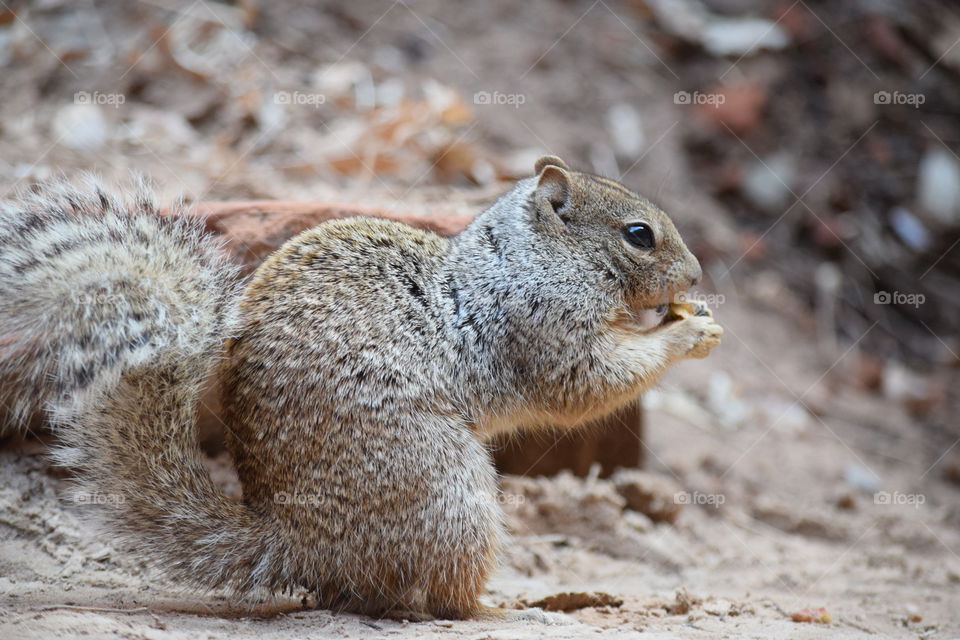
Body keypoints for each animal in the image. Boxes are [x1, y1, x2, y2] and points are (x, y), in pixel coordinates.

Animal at [0, 157, 721, 621]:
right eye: (638, 235)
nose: (696, 276)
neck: (533, 256)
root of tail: (300, 543)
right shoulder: (540, 324)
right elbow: (588, 384)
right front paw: (686, 333)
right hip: (451, 492)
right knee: (442, 601)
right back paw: (505, 609)